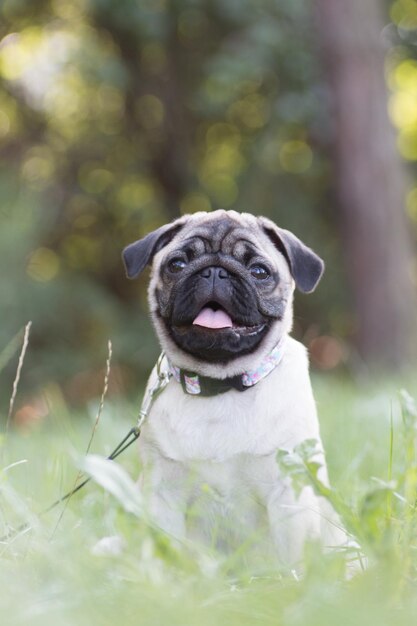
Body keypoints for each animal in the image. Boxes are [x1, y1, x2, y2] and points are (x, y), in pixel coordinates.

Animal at [122, 210, 344, 564]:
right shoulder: (162, 494)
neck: (220, 384)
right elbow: (166, 553)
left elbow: (292, 559)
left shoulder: (289, 495)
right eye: (177, 265)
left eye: (259, 271)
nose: (215, 271)